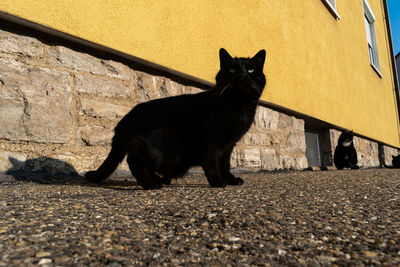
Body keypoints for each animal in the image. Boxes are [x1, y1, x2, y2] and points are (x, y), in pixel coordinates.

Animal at [85, 48, 266, 191]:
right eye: (232, 70)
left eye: (250, 70)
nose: (242, 74)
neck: (239, 106)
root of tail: (122, 123)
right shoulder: (211, 140)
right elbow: (213, 161)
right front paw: (217, 181)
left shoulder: (229, 144)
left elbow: (225, 164)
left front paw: (231, 179)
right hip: (164, 145)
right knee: (133, 160)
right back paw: (151, 184)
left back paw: (159, 180)